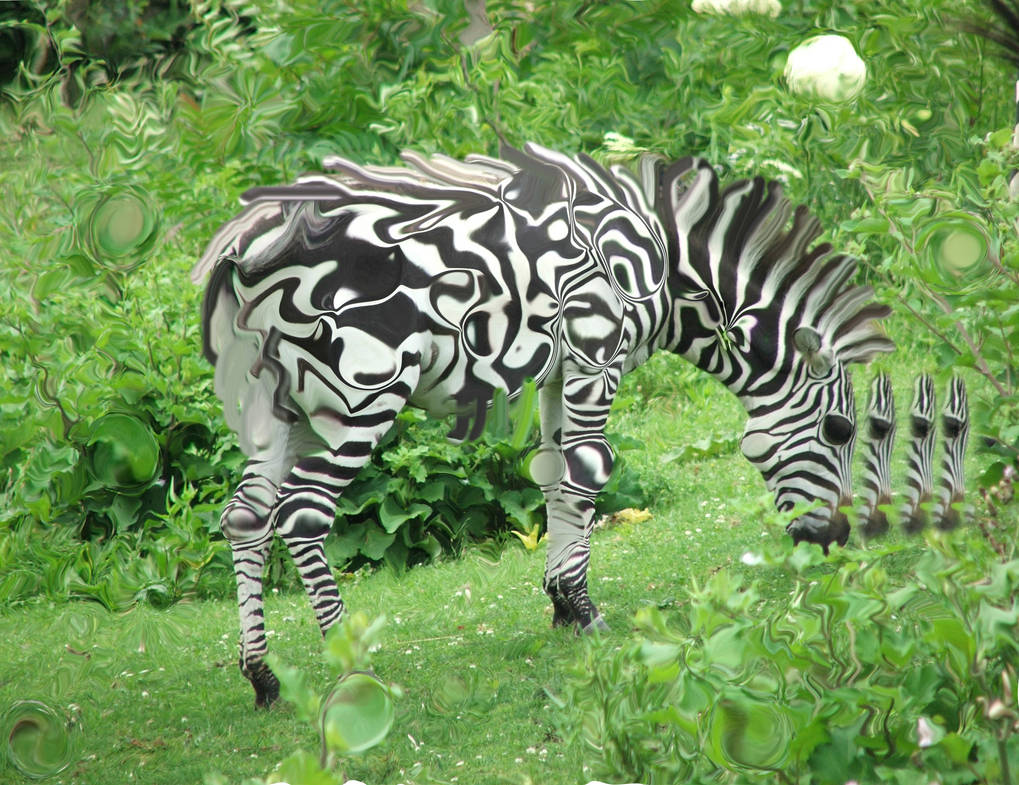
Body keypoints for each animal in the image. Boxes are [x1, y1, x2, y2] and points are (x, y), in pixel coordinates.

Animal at [193, 143, 894, 705]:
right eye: (840, 432)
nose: (835, 542)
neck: (667, 265)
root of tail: (251, 246)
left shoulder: (559, 373)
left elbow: (555, 476)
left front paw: (560, 602)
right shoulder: (597, 358)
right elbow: (588, 473)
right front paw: (585, 609)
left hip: (278, 407)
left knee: (247, 516)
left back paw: (262, 677)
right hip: (360, 399)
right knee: (302, 515)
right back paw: (351, 668)